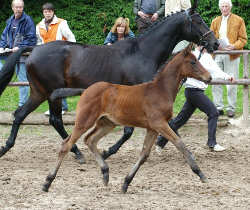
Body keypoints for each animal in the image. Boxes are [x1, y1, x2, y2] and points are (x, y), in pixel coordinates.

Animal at [42, 43, 211, 193]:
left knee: (90, 140)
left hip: (107, 123)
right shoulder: (160, 124)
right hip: (84, 120)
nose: (209, 77)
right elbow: (180, 143)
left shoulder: (152, 128)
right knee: (67, 144)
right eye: (193, 62)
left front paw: (126, 183)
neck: (161, 90)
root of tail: (85, 90)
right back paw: (47, 182)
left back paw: (105, 173)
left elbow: (144, 155)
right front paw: (201, 174)